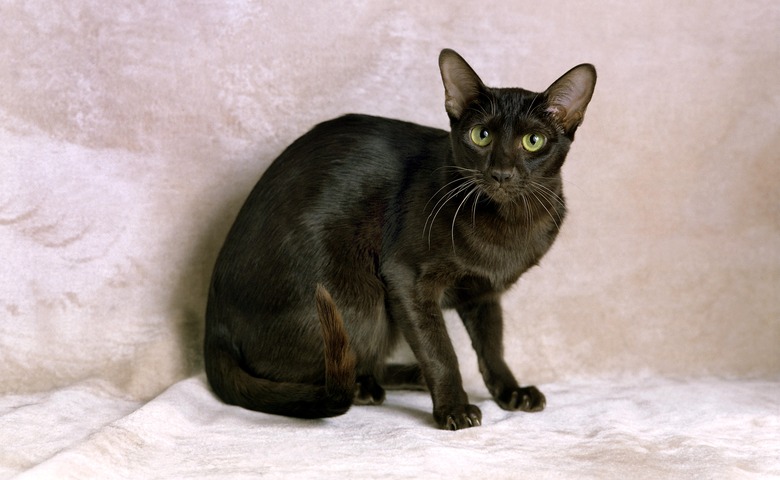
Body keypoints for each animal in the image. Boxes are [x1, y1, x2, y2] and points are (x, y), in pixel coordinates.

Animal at [204, 49, 596, 432]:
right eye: (481, 135)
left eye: (533, 142)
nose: (501, 173)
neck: (509, 224)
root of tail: (214, 330)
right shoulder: (406, 278)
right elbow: (440, 350)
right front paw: (454, 410)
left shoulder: (484, 294)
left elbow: (492, 347)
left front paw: (512, 392)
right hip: (360, 300)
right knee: (322, 371)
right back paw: (366, 388)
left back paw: (408, 376)